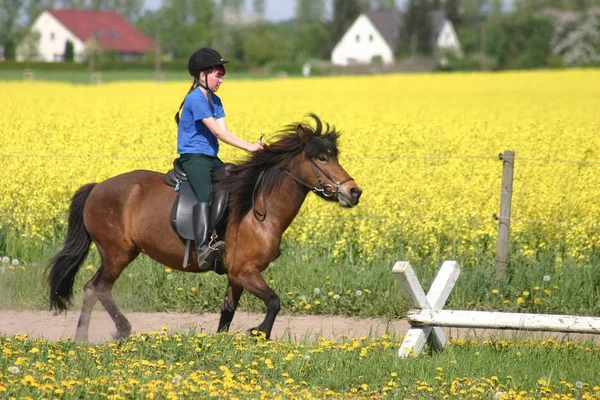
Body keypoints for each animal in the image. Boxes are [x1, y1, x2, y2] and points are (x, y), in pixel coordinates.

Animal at [48, 114, 360, 342]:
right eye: (322, 158)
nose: (354, 192)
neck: (257, 208)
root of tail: (97, 187)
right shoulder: (245, 272)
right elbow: (274, 302)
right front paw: (259, 332)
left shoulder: (236, 275)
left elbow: (227, 313)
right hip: (117, 253)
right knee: (96, 287)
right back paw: (113, 331)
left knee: (92, 289)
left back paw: (83, 337)